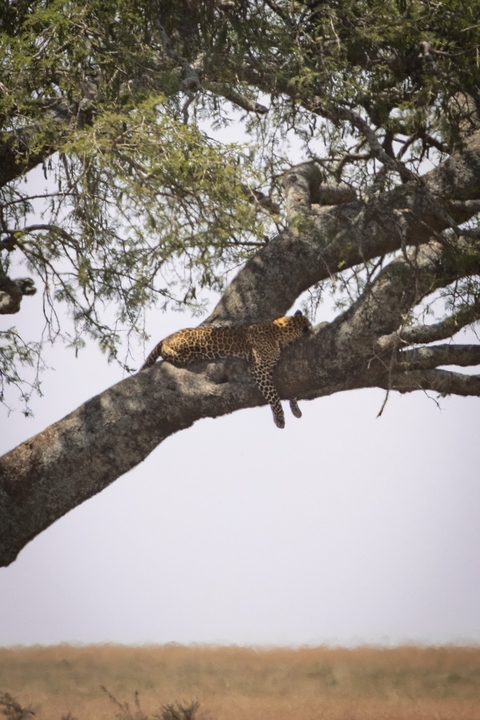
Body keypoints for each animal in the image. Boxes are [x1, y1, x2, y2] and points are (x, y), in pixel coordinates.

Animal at [141, 310, 312, 428]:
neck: (279, 330)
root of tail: (167, 337)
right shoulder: (260, 369)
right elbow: (274, 396)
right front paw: (280, 418)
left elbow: (291, 388)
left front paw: (295, 409)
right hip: (184, 348)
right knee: (168, 351)